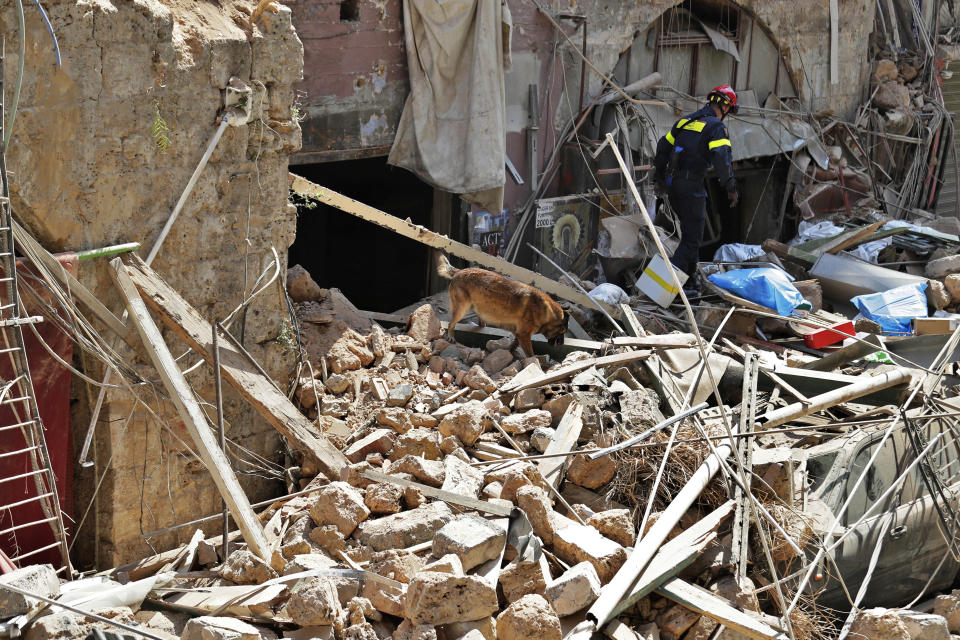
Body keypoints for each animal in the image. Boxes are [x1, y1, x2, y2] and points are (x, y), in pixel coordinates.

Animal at [436, 252, 568, 358]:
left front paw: (511, 353)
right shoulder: (524, 335)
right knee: (451, 323)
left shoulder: (520, 335)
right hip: (462, 309)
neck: (547, 312)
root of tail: (459, 271)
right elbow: (530, 354)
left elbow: (514, 344)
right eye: (562, 332)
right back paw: (451, 336)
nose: (562, 344)